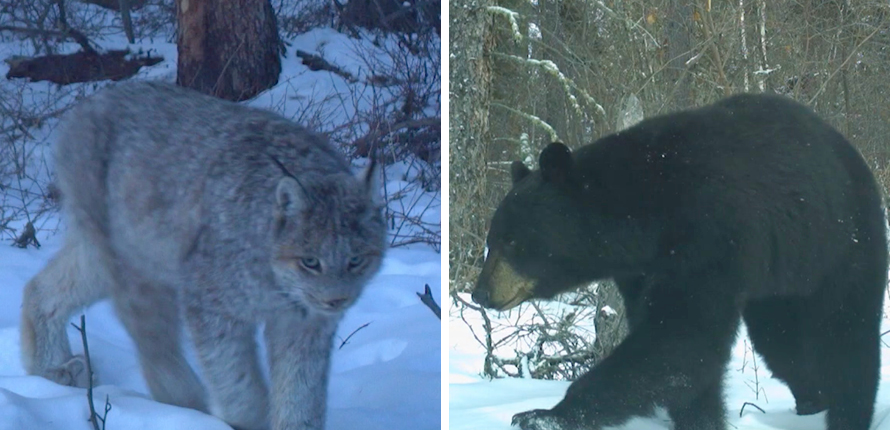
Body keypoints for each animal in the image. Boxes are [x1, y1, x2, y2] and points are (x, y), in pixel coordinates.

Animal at [468, 94, 884, 430]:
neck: (645, 213)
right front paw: (700, 418)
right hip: (780, 279)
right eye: (492, 239)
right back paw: (812, 400)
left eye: (512, 240)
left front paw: (543, 414)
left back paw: (847, 411)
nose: (480, 292)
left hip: (840, 245)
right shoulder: (640, 268)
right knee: (783, 345)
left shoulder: (708, 234)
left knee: (848, 339)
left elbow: (682, 333)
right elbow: (680, 352)